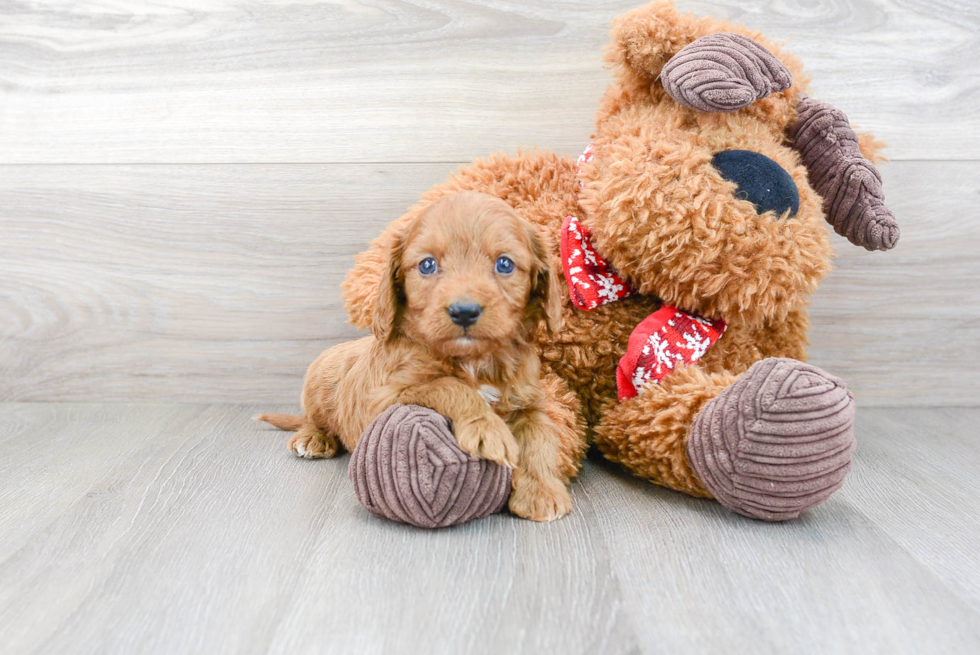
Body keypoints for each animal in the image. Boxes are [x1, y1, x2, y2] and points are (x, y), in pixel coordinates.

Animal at [258, 190, 576, 524]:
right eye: (427, 265)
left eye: (504, 264)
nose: (464, 311)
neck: (474, 360)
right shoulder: (386, 396)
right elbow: (448, 385)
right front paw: (485, 427)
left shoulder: (529, 401)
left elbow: (541, 436)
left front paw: (541, 490)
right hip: (318, 381)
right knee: (313, 418)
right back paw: (311, 438)